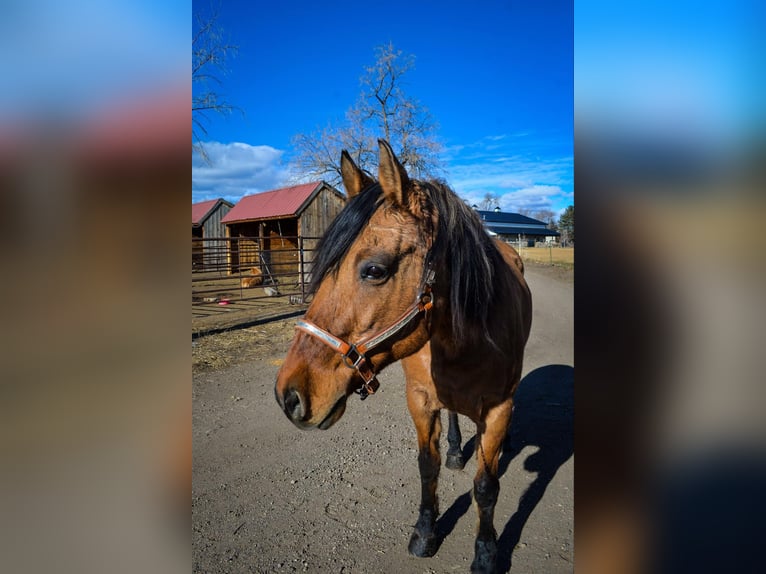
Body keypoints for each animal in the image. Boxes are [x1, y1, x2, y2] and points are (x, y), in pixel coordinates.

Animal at [276, 141, 536, 574]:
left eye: (374, 270)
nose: (289, 395)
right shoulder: (419, 399)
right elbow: (427, 467)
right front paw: (425, 532)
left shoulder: (498, 408)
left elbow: (486, 486)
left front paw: (485, 553)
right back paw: (455, 451)